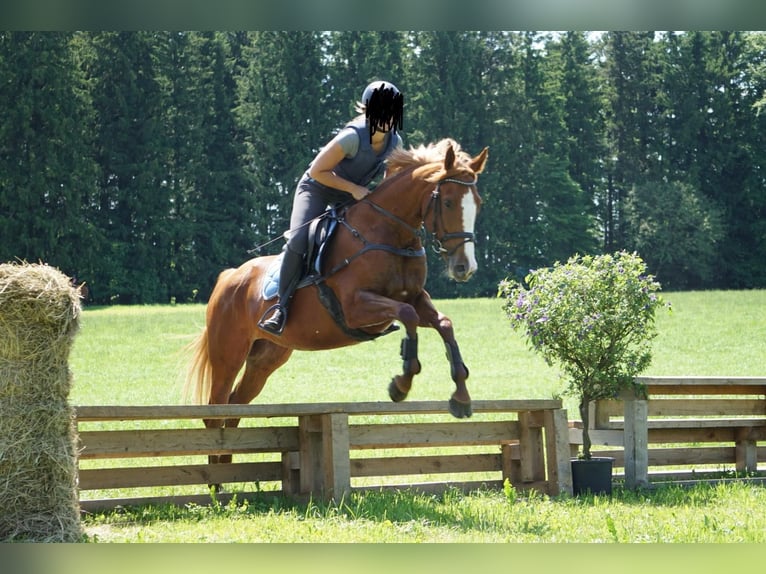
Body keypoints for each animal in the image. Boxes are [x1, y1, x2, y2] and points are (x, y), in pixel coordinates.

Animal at [185, 138, 488, 463]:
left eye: (478, 204)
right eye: (448, 203)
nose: (464, 267)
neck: (389, 233)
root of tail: (229, 276)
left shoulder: (418, 299)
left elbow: (444, 324)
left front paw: (461, 398)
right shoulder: (356, 308)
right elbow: (406, 315)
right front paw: (401, 383)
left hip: (266, 357)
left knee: (235, 407)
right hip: (228, 354)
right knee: (215, 410)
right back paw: (216, 472)